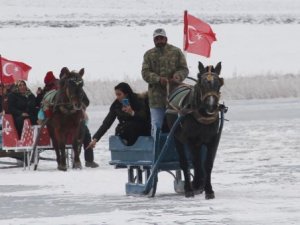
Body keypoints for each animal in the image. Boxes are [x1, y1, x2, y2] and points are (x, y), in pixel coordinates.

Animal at [165, 61, 224, 199]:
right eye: (202, 83)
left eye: (219, 83)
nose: (211, 106)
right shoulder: (191, 140)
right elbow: (195, 163)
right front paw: (195, 184)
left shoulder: (212, 140)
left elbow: (207, 164)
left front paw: (208, 190)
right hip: (178, 138)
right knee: (184, 163)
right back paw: (189, 188)